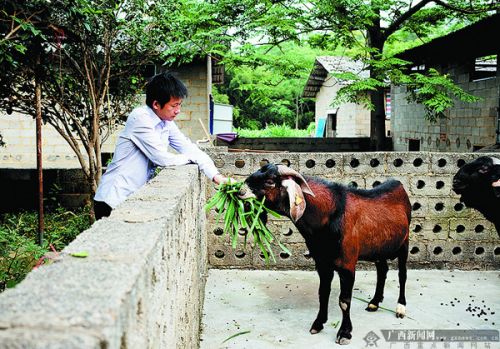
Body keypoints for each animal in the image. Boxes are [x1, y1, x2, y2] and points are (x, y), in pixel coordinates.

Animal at [242, 164, 410, 344]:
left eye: (270, 181)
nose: (240, 191)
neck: (331, 214)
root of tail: (398, 183)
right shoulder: (322, 263)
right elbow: (323, 293)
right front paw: (318, 323)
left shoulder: (347, 265)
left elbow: (344, 301)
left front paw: (344, 333)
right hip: (379, 248)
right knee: (382, 270)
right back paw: (374, 303)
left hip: (404, 243)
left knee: (402, 274)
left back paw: (400, 308)